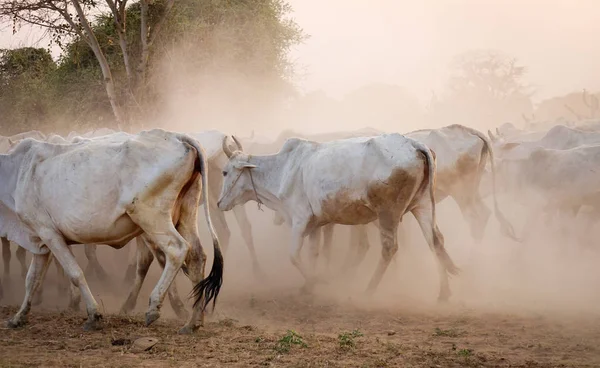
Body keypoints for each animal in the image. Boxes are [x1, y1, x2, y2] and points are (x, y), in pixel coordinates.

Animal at [0, 129, 223, 334]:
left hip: (151, 217)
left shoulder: (49, 233)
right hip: (186, 212)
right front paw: (18, 317)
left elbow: (75, 273)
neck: (18, 171)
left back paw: (154, 307)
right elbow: (32, 280)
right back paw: (193, 321)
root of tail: (177, 136)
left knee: (176, 250)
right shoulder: (40, 241)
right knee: (197, 257)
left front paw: (93, 315)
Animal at [218, 134, 462, 300]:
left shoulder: (299, 220)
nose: (220, 203)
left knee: (389, 248)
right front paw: (309, 285)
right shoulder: (315, 225)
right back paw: (444, 292)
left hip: (388, 214)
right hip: (422, 207)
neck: (284, 169)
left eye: (225, 172)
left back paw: (369, 290)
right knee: (435, 241)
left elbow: (294, 256)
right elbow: (313, 253)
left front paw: (316, 280)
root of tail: (414, 144)